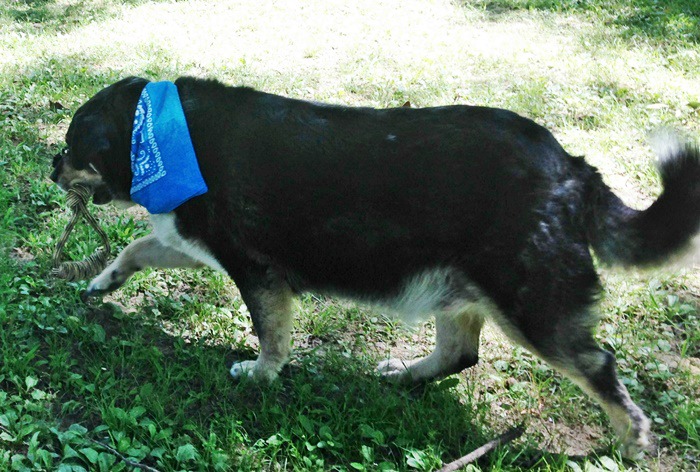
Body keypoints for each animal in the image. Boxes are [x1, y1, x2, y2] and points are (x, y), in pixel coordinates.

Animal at [50, 77, 700, 458]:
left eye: (74, 145)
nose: (52, 166)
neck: (156, 132)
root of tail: (572, 167)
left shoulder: (255, 271)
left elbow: (270, 337)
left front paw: (260, 375)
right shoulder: (192, 242)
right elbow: (135, 249)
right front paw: (101, 281)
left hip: (530, 307)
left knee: (599, 365)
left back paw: (633, 440)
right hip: (459, 291)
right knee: (460, 354)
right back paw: (402, 376)